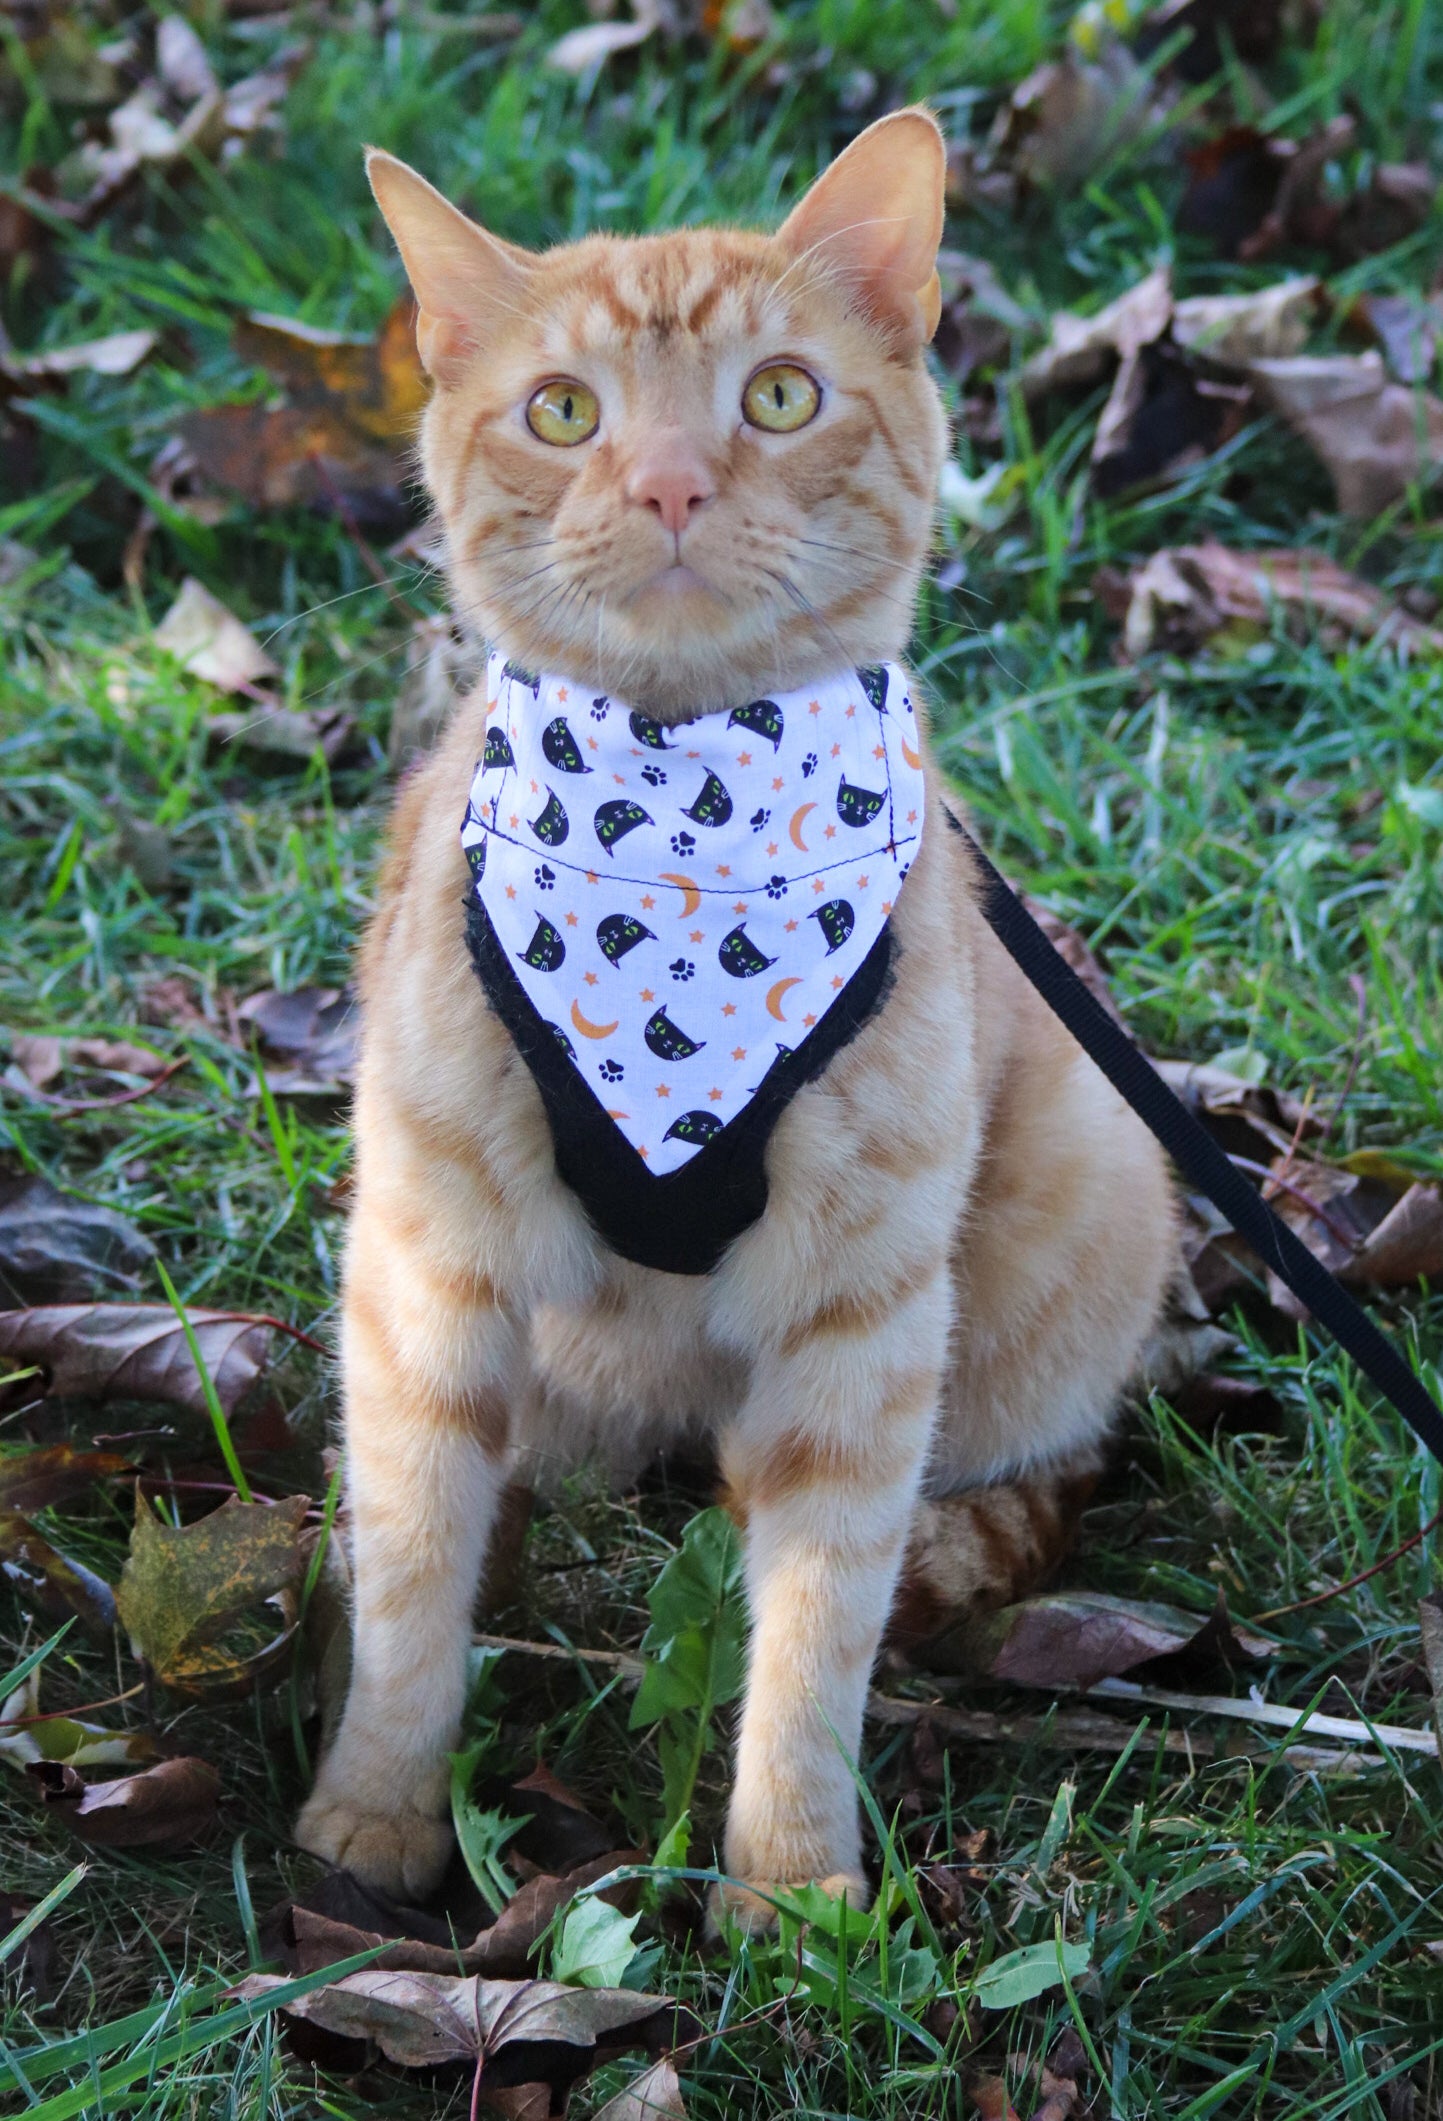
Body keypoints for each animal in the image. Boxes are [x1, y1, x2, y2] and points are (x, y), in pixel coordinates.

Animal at [294, 120, 1171, 1942]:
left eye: (777, 397)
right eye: (565, 412)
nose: (670, 487)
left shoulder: (860, 1323)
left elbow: (819, 1627)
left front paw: (793, 1892)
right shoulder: (426, 1273)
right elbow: (409, 1571)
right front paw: (375, 1815)